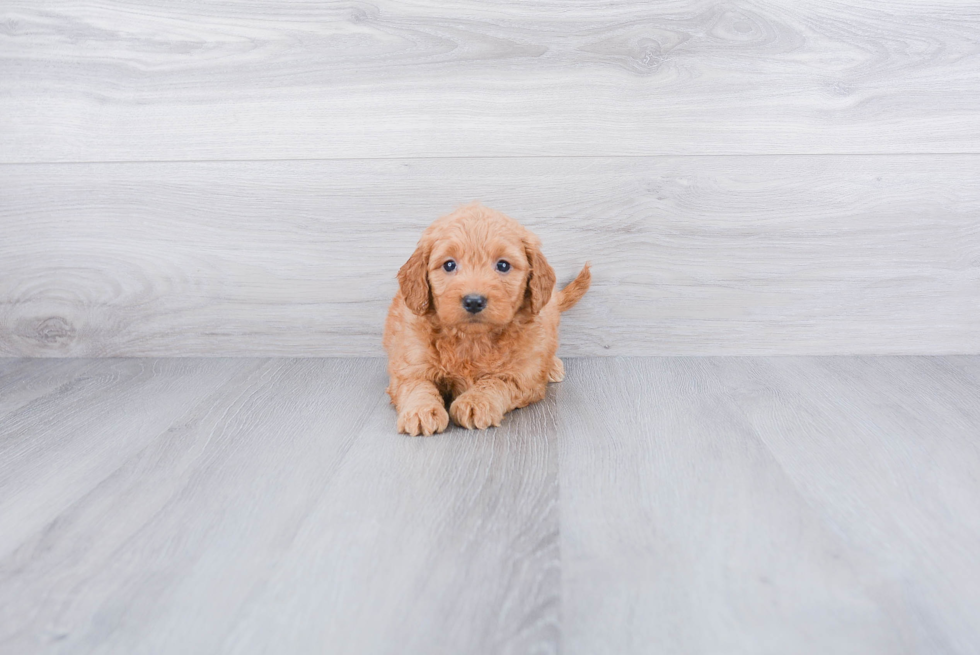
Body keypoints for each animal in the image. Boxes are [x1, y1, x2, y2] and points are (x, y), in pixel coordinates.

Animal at [382, 201, 588, 436]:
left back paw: (552, 366)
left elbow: (496, 381)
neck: (471, 340)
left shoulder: (521, 376)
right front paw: (421, 410)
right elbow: (418, 385)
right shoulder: (409, 364)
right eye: (449, 265)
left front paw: (475, 402)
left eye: (503, 265)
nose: (473, 301)